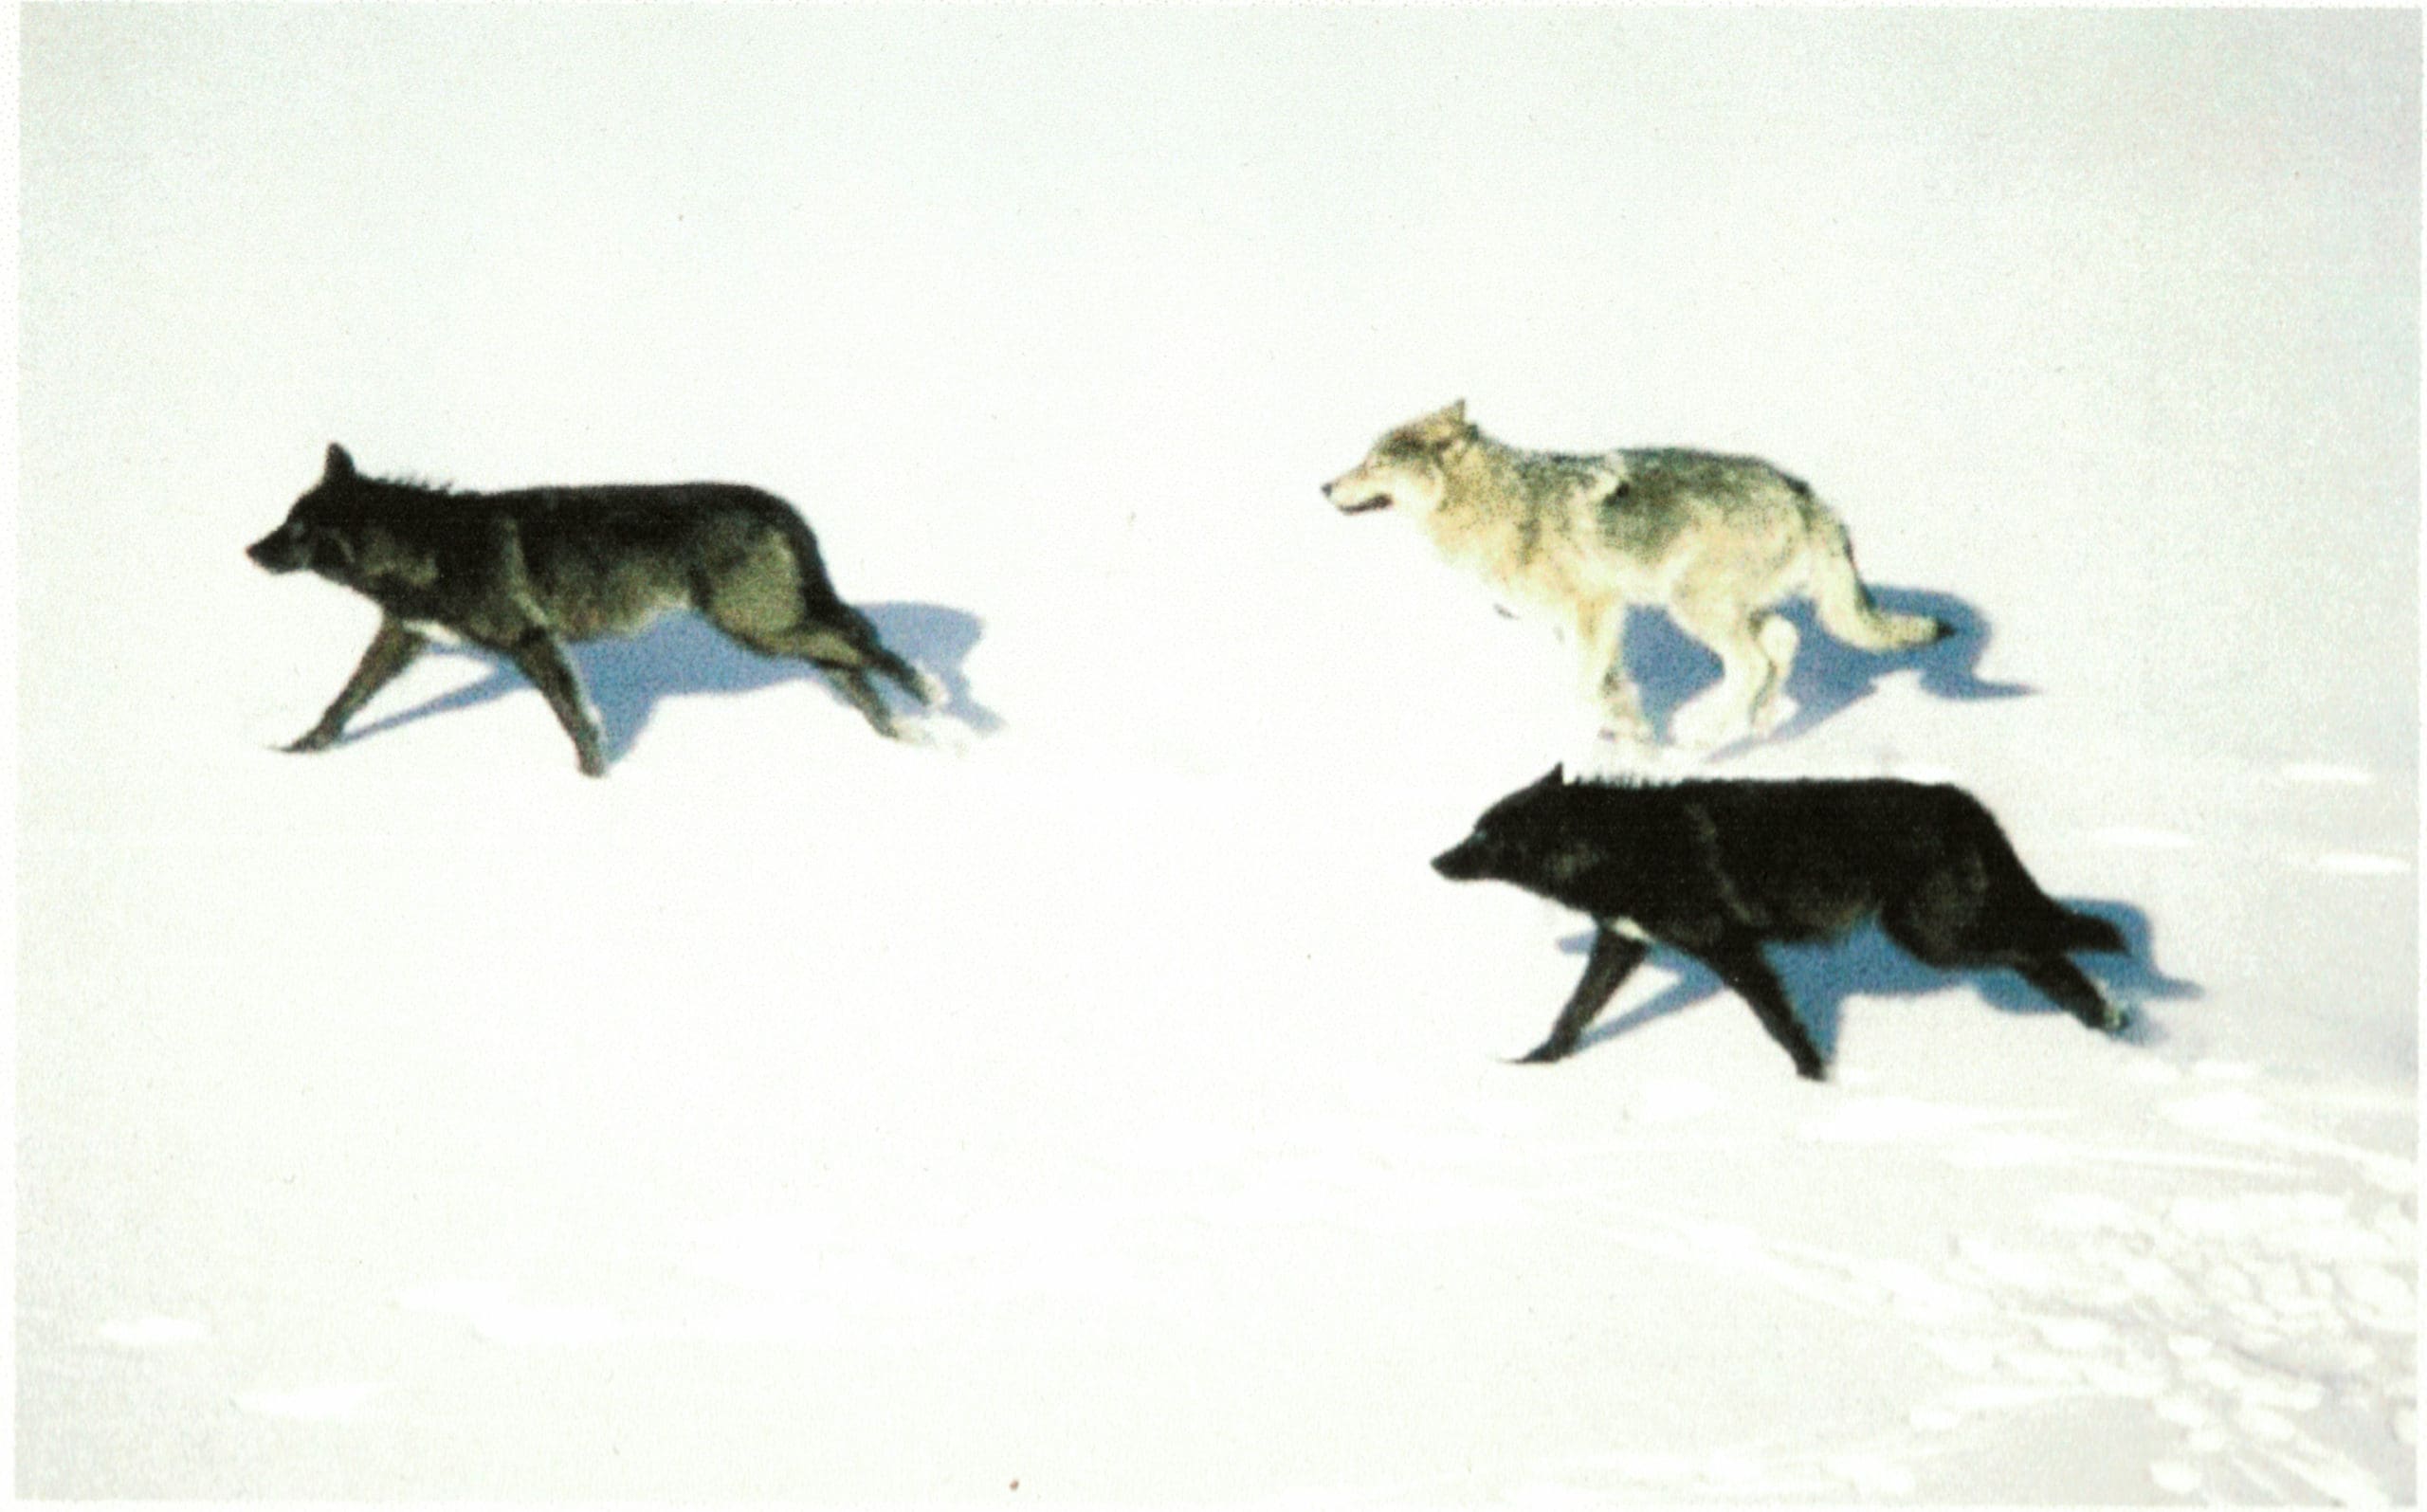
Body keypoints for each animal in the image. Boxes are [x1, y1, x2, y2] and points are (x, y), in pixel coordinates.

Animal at [248, 444, 937, 776]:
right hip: (777, 632)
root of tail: (779, 505)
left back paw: (930, 694)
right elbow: (344, 700)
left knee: (867, 642)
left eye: (298, 528)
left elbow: (574, 720)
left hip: (763, 629)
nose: (248, 550)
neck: (426, 546)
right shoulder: (403, 639)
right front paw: (301, 751)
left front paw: (594, 782)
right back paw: (901, 732)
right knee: (852, 659)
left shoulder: (532, 642)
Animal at [1324, 402, 1948, 751]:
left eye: (1375, 463)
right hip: (1727, 608)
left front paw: (1617, 735)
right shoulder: (1582, 624)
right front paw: (1628, 730)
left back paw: (1706, 737)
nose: (1324, 486)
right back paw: (1763, 722)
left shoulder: (1594, 609)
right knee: (1783, 641)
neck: (1500, 505)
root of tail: (1803, 493)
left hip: (1691, 606)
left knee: (1753, 662)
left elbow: (1582, 689)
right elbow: (1607, 686)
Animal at [1430, 767, 2131, 1079]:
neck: (1620, 844)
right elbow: (1572, 1013)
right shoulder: (1621, 946)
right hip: (1947, 938)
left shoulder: (1731, 950)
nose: (1435, 860)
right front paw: (1534, 1067)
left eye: (1484, 834)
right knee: (2045, 956)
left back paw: (2115, 999)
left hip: (1939, 940)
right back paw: (2107, 1019)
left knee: (2052, 943)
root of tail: (1961, 801)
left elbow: (1778, 1022)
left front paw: (1814, 1081)